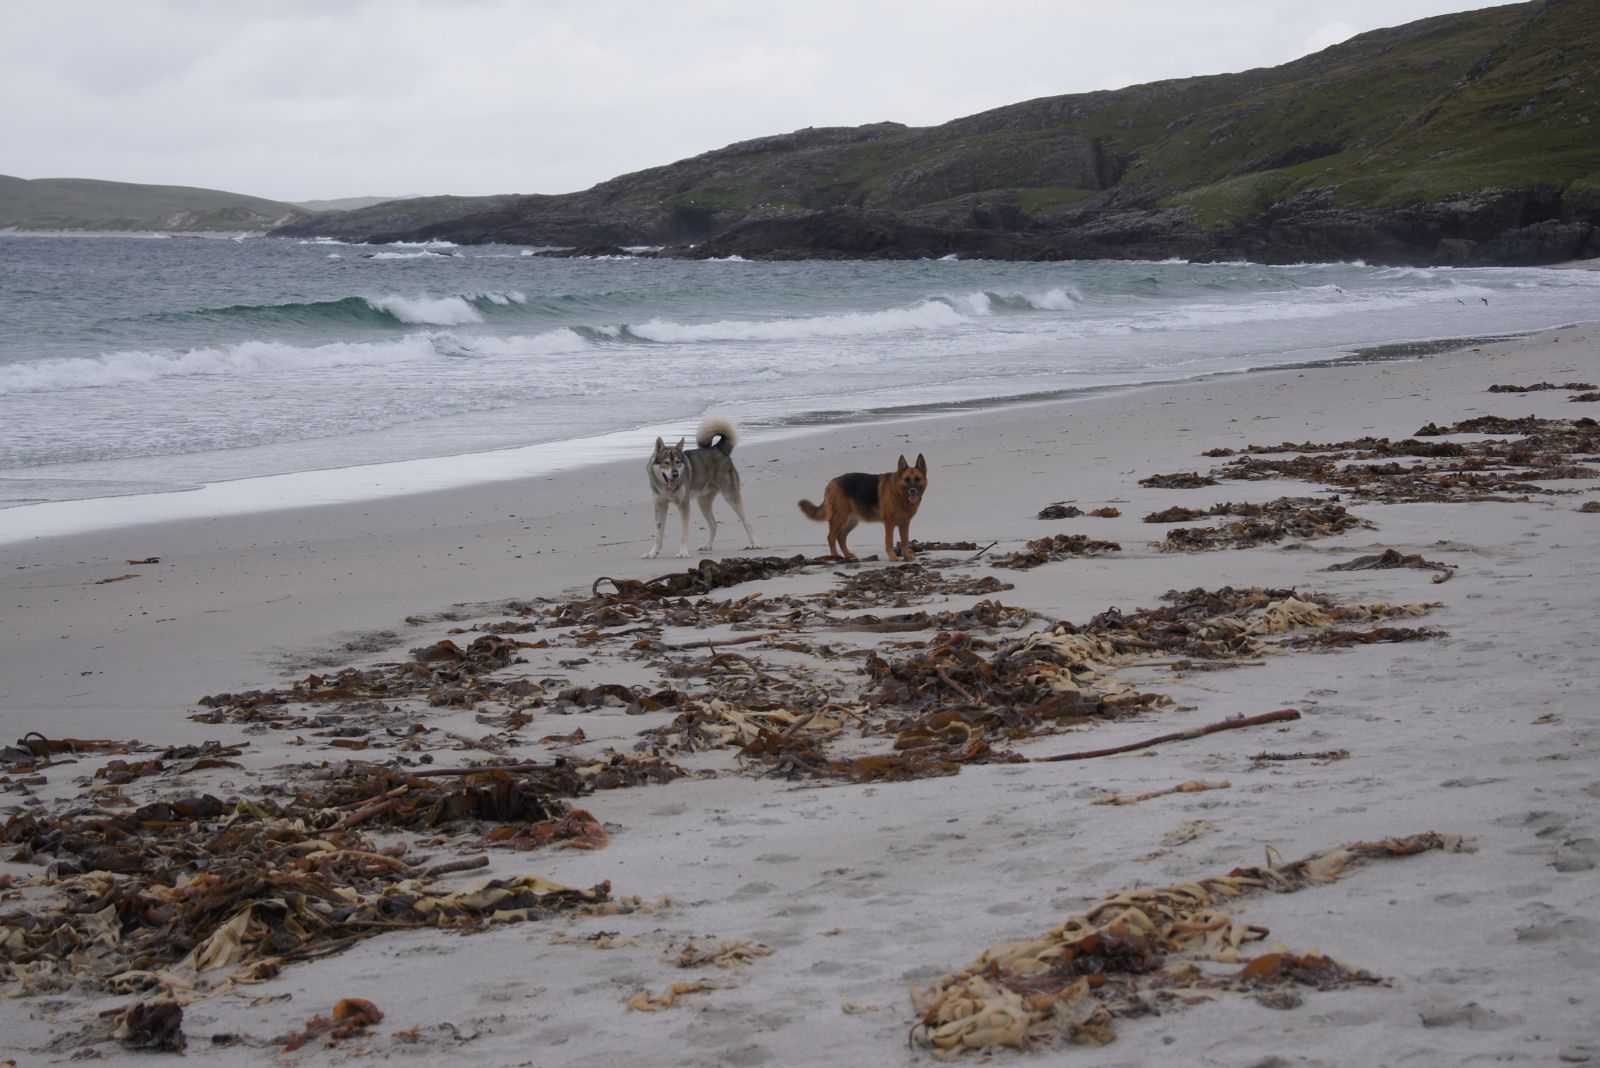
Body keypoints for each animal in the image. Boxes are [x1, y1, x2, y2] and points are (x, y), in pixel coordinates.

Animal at [640, 415, 758, 559]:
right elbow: (658, 535)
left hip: (731, 497)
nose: (675, 474)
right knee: (714, 525)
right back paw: (708, 546)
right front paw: (652, 553)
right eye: (666, 463)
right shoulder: (660, 506)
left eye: (678, 462)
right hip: (703, 503)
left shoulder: (684, 506)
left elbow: (683, 534)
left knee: (747, 521)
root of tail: (718, 448)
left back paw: (754, 544)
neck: (667, 488)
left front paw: (683, 552)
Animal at [796, 454, 928, 562]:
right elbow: (889, 542)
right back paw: (835, 557)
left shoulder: (905, 524)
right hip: (839, 518)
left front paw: (907, 556)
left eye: (917, 479)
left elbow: (905, 541)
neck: (898, 492)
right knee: (831, 537)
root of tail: (831, 482)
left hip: (851, 521)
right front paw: (893, 557)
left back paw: (847, 555)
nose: (913, 491)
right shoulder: (889, 524)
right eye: (907, 480)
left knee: (841, 537)